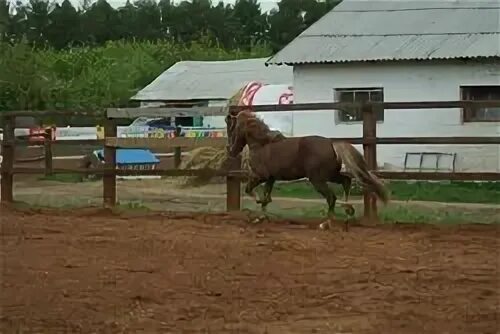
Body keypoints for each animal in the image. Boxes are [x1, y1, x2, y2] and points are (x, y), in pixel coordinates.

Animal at [226, 111, 386, 218]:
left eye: (233, 130)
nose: (231, 150)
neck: (262, 144)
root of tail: (331, 143)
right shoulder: (271, 178)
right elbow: (266, 197)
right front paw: (263, 214)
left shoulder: (260, 176)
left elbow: (249, 190)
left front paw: (259, 205)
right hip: (330, 175)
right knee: (346, 181)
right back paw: (347, 209)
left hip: (317, 179)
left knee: (332, 197)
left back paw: (330, 217)